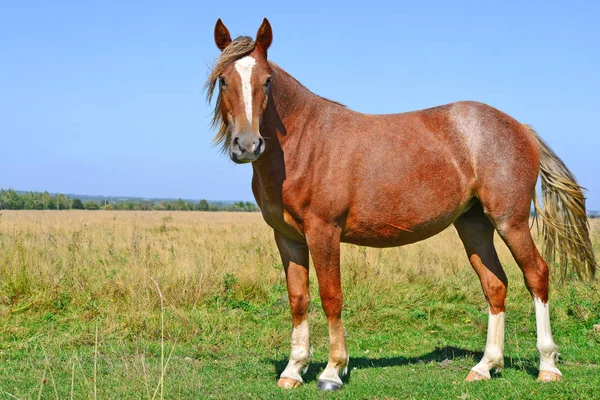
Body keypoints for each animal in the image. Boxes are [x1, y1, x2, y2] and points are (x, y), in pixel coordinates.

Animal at [205, 18, 596, 390]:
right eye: (223, 80)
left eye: (267, 81)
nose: (247, 145)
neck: (304, 142)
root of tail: (520, 128)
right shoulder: (288, 238)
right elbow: (298, 299)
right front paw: (293, 370)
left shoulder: (323, 232)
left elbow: (332, 297)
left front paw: (332, 371)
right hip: (473, 225)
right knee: (495, 285)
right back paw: (485, 367)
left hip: (509, 221)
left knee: (536, 275)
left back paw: (548, 366)